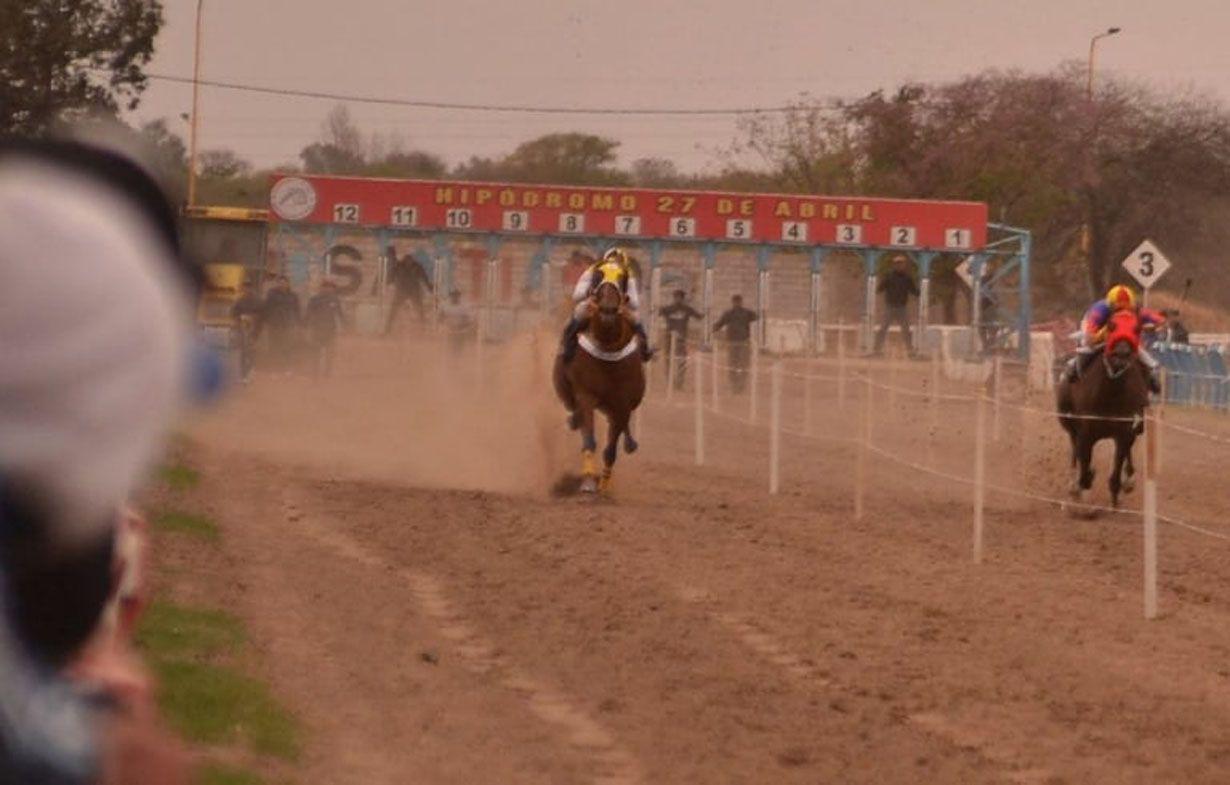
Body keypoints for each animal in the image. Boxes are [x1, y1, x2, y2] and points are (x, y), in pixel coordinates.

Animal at [555, 281, 649, 492]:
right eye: (598, 286)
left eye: (622, 282)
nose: (608, 309)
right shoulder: (586, 396)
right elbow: (589, 439)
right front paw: (589, 482)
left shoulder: (622, 405)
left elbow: (611, 450)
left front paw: (604, 486)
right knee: (575, 412)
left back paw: (630, 443)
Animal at [1057, 310, 1151, 514]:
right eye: (1112, 325)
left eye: (1137, 328)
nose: (1121, 354)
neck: (1111, 395)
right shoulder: (1086, 432)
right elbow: (1084, 461)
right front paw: (1084, 498)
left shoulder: (1124, 431)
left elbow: (1118, 464)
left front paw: (1116, 497)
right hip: (1069, 424)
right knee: (1074, 448)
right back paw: (1074, 485)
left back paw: (1128, 481)